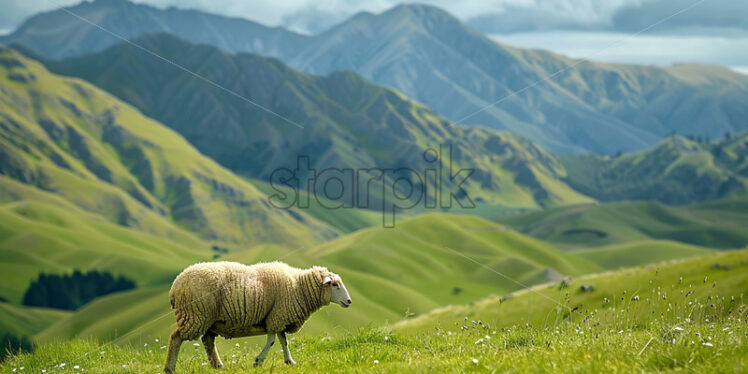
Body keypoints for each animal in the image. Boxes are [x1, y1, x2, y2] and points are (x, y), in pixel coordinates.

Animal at [164, 262, 350, 372]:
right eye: (334, 284)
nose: (349, 301)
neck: (299, 286)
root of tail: (175, 285)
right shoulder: (276, 317)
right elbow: (272, 341)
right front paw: (258, 361)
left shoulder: (278, 316)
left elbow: (283, 341)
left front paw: (290, 361)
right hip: (195, 315)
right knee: (176, 338)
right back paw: (169, 368)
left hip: (208, 320)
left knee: (208, 341)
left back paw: (218, 365)